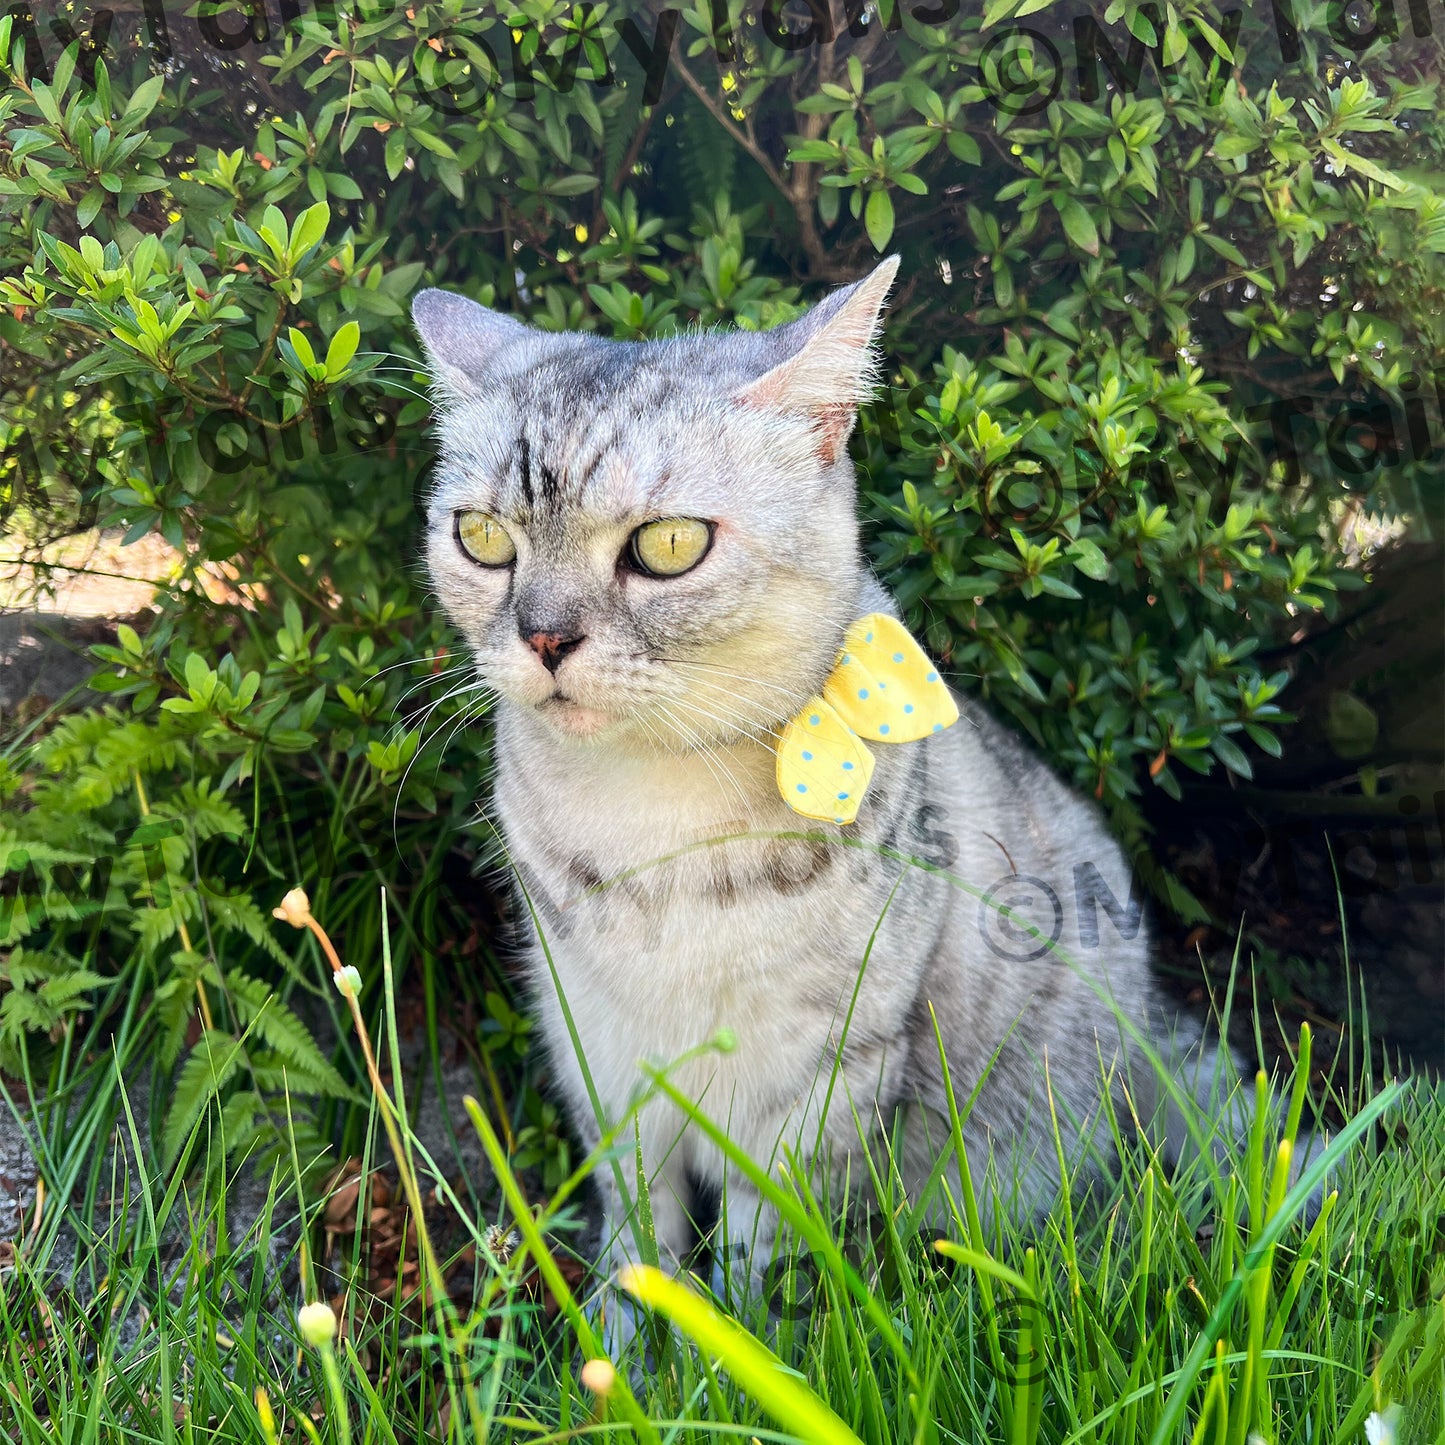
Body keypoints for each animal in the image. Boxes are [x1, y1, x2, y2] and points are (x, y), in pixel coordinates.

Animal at [416, 262, 1265, 1300]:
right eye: (482, 536)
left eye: (667, 545)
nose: (543, 636)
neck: (650, 810)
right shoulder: (602, 1063)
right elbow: (636, 1244)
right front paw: (628, 1339)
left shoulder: (817, 1087)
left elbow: (761, 1264)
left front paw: (735, 1341)